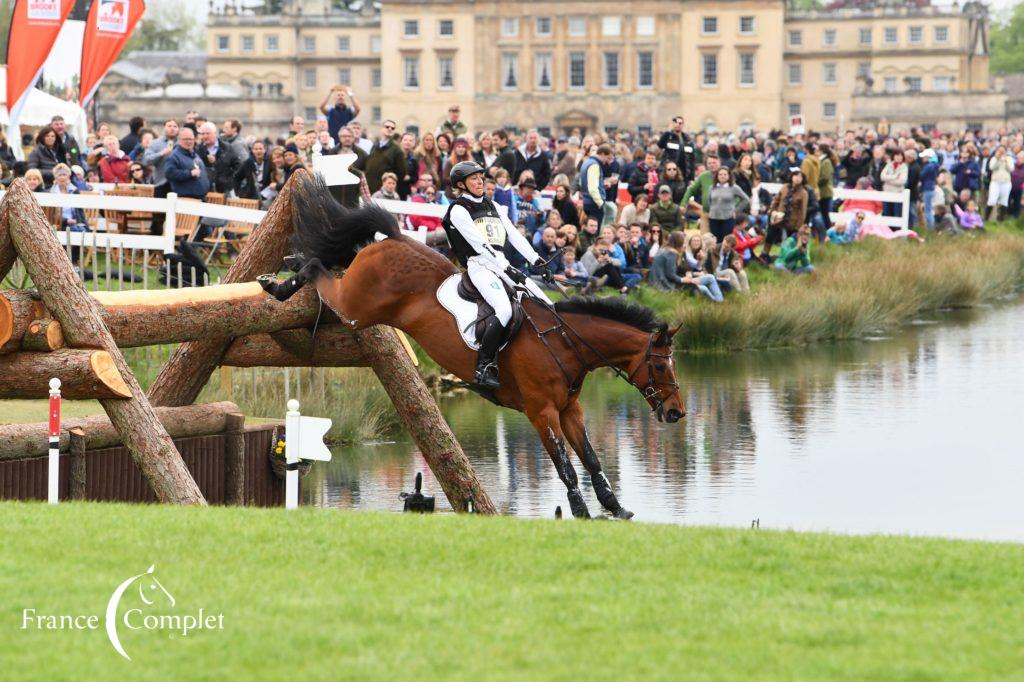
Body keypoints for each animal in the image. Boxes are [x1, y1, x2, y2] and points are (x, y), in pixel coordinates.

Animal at [278, 178, 688, 518]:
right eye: (660, 366)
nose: (676, 413)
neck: (565, 343)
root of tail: (393, 236)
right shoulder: (541, 413)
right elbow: (567, 467)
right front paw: (581, 512)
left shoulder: (570, 409)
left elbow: (591, 459)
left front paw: (615, 507)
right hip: (355, 309)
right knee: (323, 277)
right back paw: (284, 280)